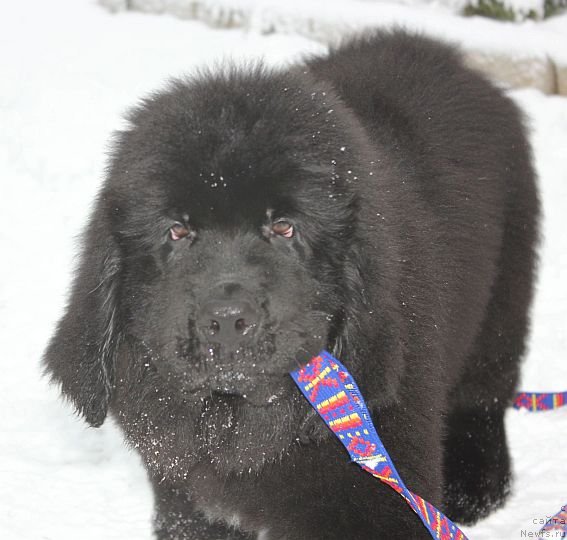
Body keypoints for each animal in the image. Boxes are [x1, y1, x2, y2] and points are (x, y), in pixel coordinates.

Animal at [45, 30, 540, 540]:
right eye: (177, 231)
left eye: (284, 228)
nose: (227, 320)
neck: (237, 425)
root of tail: (445, 55)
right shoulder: (184, 495)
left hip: (503, 293)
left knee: (484, 391)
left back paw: (474, 488)